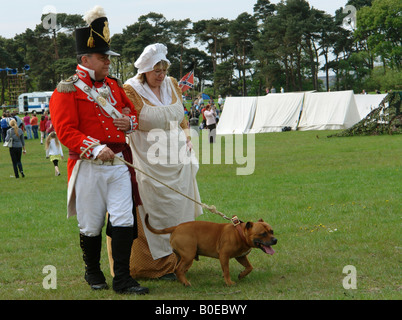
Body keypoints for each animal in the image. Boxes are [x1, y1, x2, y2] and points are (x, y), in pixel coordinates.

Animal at [144, 215, 276, 284]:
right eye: (263, 234)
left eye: (272, 231)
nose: (275, 240)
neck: (240, 233)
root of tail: (176, 227)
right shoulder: (224, 256)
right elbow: (226, 270)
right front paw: (229, 282)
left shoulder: (241, 256)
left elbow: (249, 267)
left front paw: (241, 275)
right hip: (188, 255)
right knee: (179, 269)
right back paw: (186, 283)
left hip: (181, 256)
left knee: (177, 269)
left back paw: (181, 281)